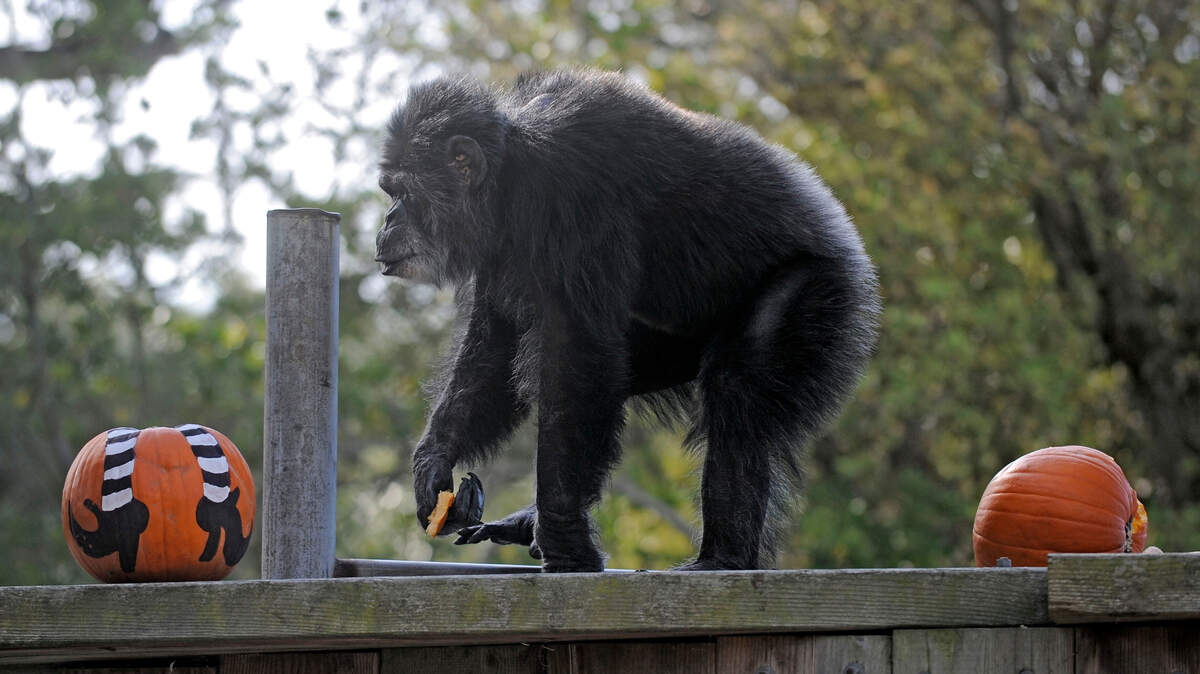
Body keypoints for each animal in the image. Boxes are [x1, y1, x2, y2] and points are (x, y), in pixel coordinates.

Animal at [376, 68, 880, 572]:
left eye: (402, 192)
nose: (385, 223)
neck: (510, 177)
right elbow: (495, 348)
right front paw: (432, 466)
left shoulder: (573, 193)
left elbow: (575, 350)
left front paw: (566, 542)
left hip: (822, 289)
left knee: (736, 385)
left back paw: (723, 557)